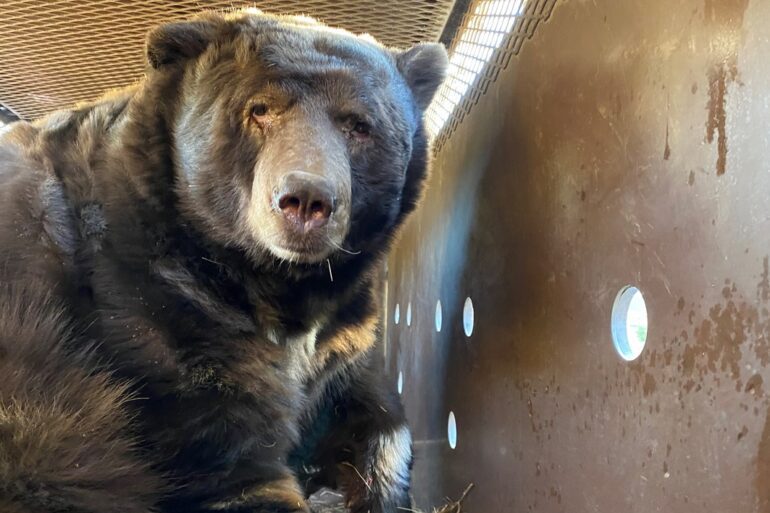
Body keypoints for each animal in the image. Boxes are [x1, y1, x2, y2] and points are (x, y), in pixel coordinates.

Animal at [0, 9, 447, 513]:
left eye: (359, 125)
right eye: (260, 109)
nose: (306, 199)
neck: (275, 281)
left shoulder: (345, 335)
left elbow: (375, 406)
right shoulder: (158, 316)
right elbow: (231, 461)